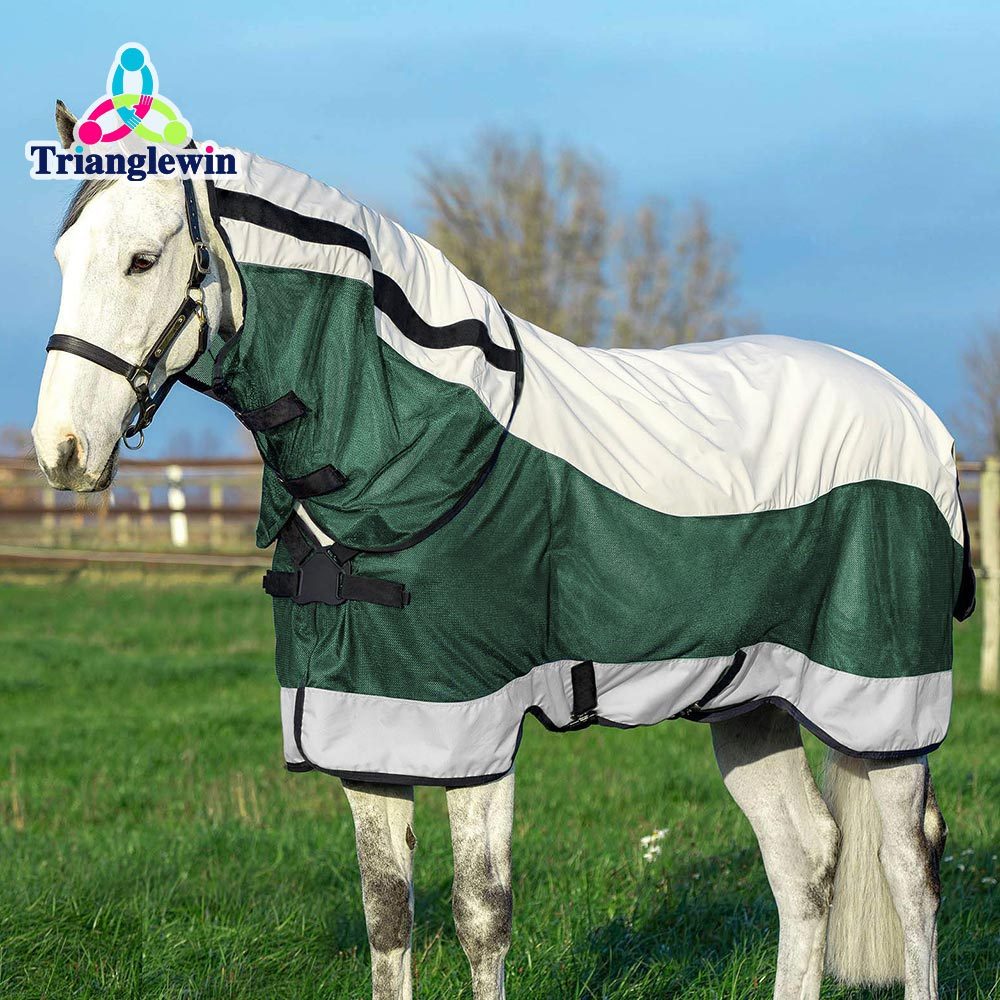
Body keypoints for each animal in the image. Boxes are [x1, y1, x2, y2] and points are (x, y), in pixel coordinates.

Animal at [33, 101, 970, 1000]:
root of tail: (916, 414)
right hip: (748, 700)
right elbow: (388, 917)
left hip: (882, 701)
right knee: (804, 857)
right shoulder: (368, 728)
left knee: (909, 866)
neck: (409, 454)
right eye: (64, 258)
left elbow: (480, 916)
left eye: (142, 260)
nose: (62, 451)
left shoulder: (472, 727)